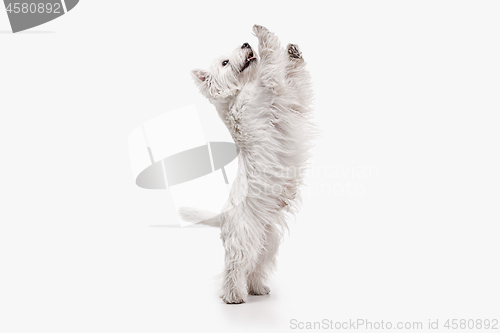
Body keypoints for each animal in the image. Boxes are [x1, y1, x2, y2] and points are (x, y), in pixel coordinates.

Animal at [181, 24, 316, 302]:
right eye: (224, 62)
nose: (245, 43)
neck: (238, 94)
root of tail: (223, 217)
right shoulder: (269, 92)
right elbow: (271, 67)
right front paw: (262, 34)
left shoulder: (291, 100)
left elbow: (294, 79)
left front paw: (293, 53)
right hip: (243, 239)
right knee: (234, 267)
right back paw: (233, 296)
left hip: (268, 240)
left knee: (257, 266)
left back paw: (258, 288)